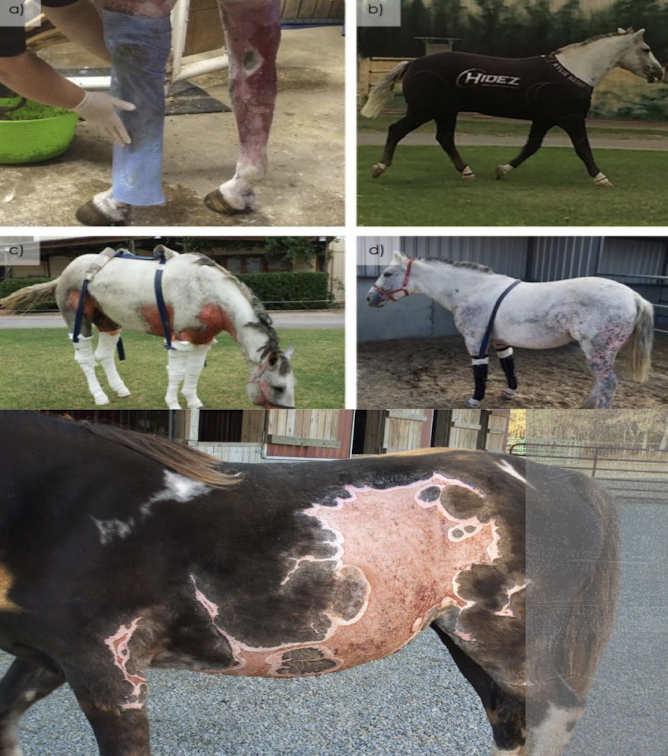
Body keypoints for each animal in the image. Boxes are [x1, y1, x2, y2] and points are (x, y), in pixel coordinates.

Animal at [0, 245, 295, 410]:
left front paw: (193, 401)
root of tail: (63, 274)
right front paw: (173, 403)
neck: (209, 292)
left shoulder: (202, 339)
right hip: (78, 321)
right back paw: (100, 396)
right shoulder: (179, 338)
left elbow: (194, 372)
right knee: (85, 359)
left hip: (108, 321)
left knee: (104, 355)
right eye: (279, 387)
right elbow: (176, 372)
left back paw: (120, 389)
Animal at [0, 411, 619, 756]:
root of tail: (559, 479)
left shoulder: (111, 674)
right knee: (510, 722)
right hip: (468, 643)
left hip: (508, 644)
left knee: (553, 717)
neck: (62, 505)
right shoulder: (50, 659)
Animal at [361, 28, 663, 187]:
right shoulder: (572, 118)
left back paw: (467, 172)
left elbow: (531, 147)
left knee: (444, 138)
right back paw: (379, 167)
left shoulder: (544, 120)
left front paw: (502, 170)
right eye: (646, 49)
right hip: (424, 110)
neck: (575, 71)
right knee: (396, 130)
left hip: (445, 112)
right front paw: (601, 177)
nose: (659, 73)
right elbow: (583, 148)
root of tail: (412, 63)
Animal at [366, 251, 654, 409]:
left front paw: (475, 400)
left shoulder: (475, 341)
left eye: (388, 273)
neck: (471, 289)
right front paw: (509, 392)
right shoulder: (500, 341)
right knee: (602, 382)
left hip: (598, 349)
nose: (370, 298)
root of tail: (634, 296)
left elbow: (480, 372)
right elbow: (509, 366)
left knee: (608, 383)